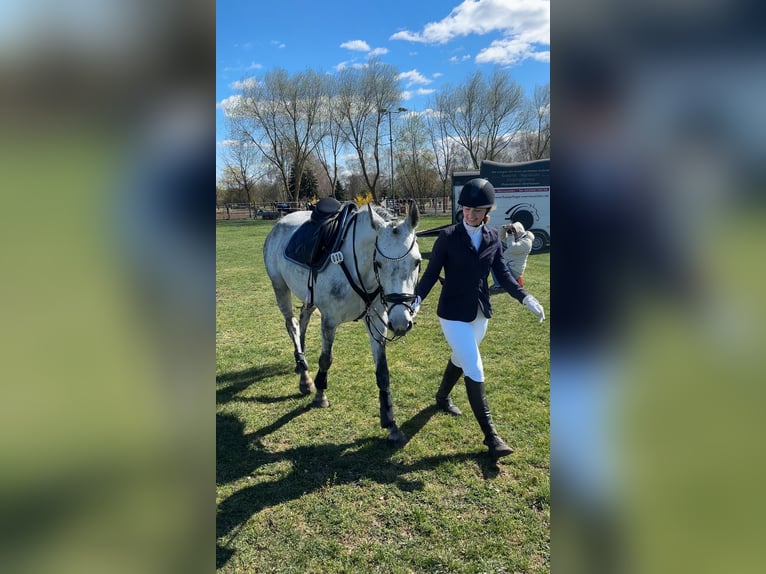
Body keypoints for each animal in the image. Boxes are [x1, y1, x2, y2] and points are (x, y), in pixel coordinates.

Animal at [263, 202, 421, 443]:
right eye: (378, 263)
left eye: (417, 262)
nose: (401, 322)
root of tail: (280, 222)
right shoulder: (329, 320)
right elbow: (326, 359)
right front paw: (320, 395)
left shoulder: (378, 320)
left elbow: (382, 372)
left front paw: (391, 422)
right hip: (280, 287)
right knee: (292, 324)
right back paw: (304, 377)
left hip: (308, 297)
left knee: (303, 320)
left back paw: (302, 364)